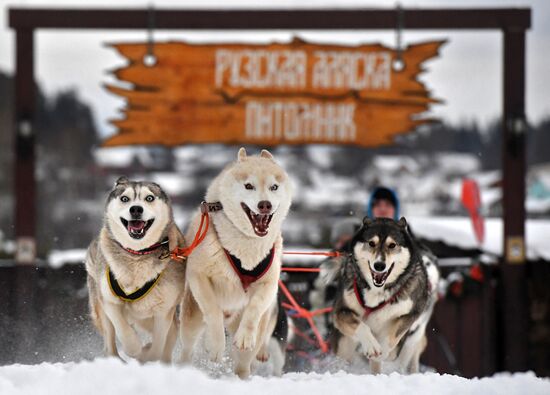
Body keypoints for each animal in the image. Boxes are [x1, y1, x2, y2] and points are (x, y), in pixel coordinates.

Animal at [85, 178, 187, 364]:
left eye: (149, 198)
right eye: (125, 199)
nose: (136, 209)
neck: (137, 254)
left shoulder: (163, 311)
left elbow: (159, 344)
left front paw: (149, 355)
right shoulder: (109, 301)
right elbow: (124, 331)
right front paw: (135, 348)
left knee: (169, 337)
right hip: (101, 308)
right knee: (110, 346)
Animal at [181, 147, 294, 378]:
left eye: (274, 187)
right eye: (248, 186)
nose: (265, 205)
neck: (246, 245)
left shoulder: (268, 283)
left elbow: (254, 309)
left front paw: (244, 336)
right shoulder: (199, 275)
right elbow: (213, 310)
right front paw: (215, 345)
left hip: (259, 331)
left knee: (243, 361)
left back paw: (242, 377)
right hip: (191, 320)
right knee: (187, 348)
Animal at [330, 217, 442, 374]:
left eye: (392, 245)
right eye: (371, 243)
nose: (379, 265)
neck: (377, 292)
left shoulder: (409, 316)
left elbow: (391, 339)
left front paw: (383, 350)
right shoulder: (341, 311)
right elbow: (361, 326)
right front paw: (372, 346)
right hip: (345, 346)